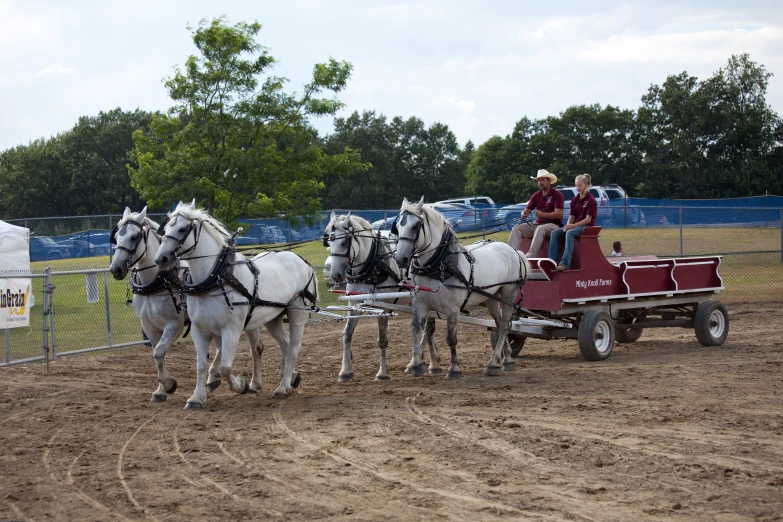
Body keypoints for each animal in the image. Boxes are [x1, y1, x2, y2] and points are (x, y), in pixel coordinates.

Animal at [153, 199, 316, 406]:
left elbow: (225, 367)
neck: (216, 278)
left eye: (182, 229)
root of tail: (302, 261)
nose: (161, 258)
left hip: (297, 313)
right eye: (166, 229)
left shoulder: (231, 330)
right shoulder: (199, 329)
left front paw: (241, 385)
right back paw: (288, 378)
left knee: (294, 348)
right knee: (285, 344)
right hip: (273, 317)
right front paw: (197, 397)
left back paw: (283, 386)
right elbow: (200, 365)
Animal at [324, 209, 440, 380]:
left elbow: (382, 340)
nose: (336, 275)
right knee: (428, 328)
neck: (371, 265)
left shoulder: (383, 307)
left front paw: (383, 373)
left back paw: (420, 363)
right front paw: (345, 371)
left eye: (344, 242)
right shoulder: (355, 303)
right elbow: (347, 335)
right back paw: (432, 362)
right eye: (329, 242)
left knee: (429, 328)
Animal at [396, 197, 528, 376]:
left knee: (505, 326)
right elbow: (416, 329)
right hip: (491, 298)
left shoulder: (452, 309)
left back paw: (494, 362)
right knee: (500, 323)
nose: (400, 259)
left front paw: (454, 369)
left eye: (415, 226)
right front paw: (415, 364)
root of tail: (513, 250)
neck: (440, 266)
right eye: (397, 227)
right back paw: (505, 360)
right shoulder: (420, 304)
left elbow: (451, 338)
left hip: (508, 294)